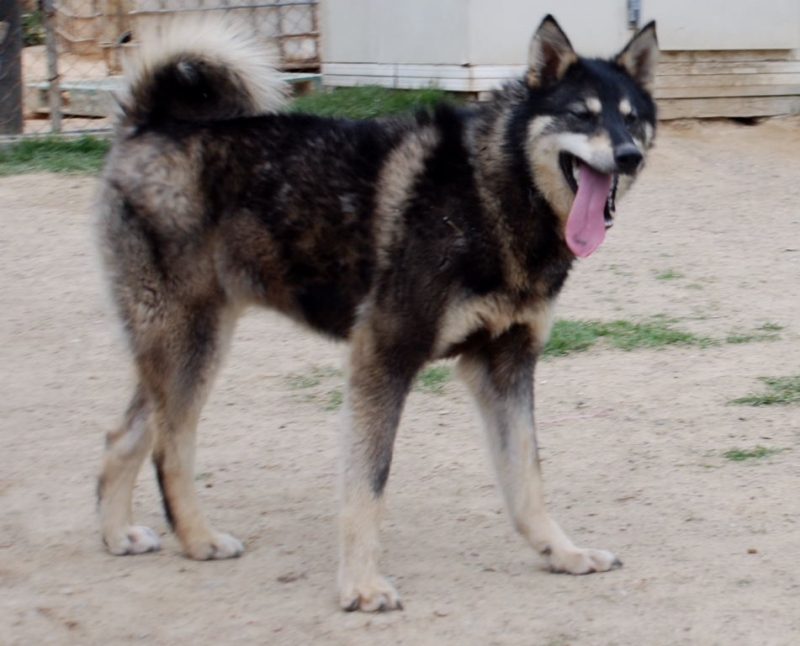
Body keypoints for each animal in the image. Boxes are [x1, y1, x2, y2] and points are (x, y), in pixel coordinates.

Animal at [95, 15, 659, 612]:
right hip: (190, 343)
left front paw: (563, 553)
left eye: (632, 119)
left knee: (126, 433)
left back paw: (117, 533)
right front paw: (361, 585)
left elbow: (526, 477)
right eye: (582, 114)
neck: (494, 189)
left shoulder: (504, 366)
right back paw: (198, 538)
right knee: (169, 451)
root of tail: (148, 122)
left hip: (187, 345)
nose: (629, 155)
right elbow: (368, 483)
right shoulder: (384, 354)